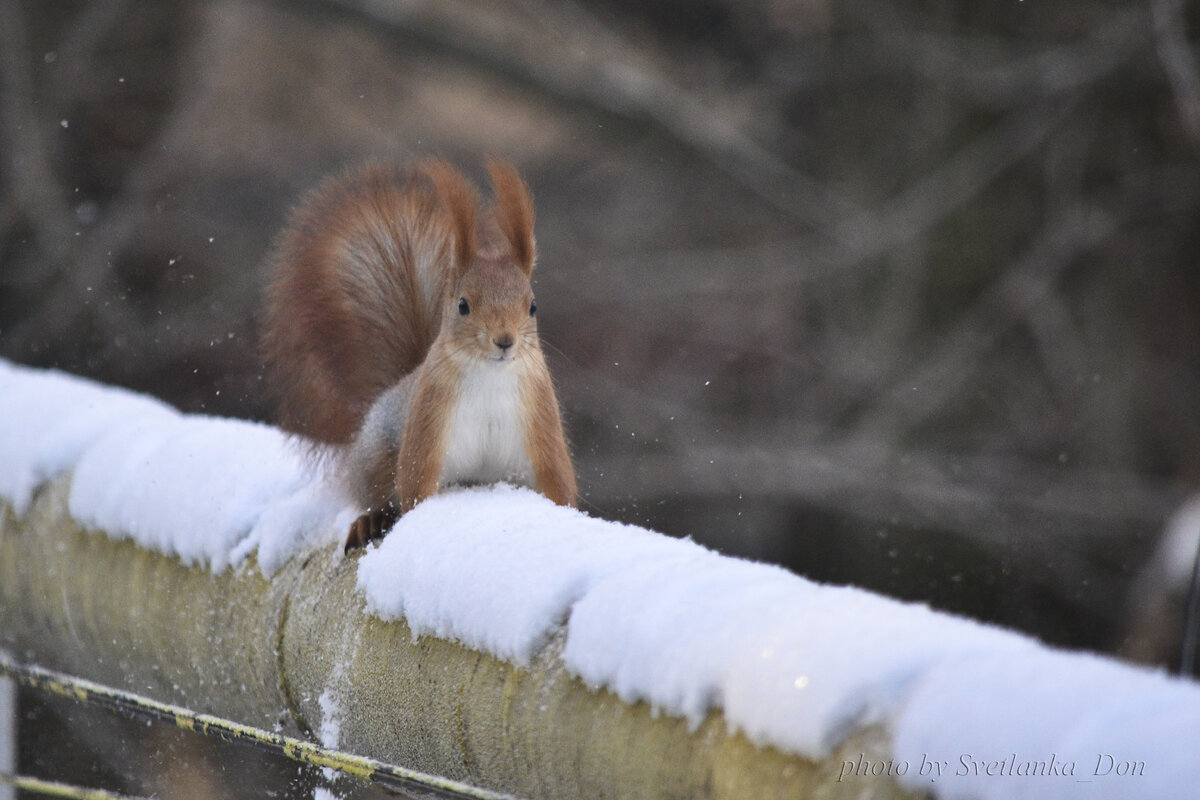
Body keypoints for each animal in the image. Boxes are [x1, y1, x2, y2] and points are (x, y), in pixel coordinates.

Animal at [261, 159, 576, 554]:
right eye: (463, 305)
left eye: (532, 306)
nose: (505, 341)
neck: (489, 375)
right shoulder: (428, 421)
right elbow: (415, 484)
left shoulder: (541, 426)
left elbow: (558, 484)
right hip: (376, 454)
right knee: (376, 492)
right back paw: (370, 520)